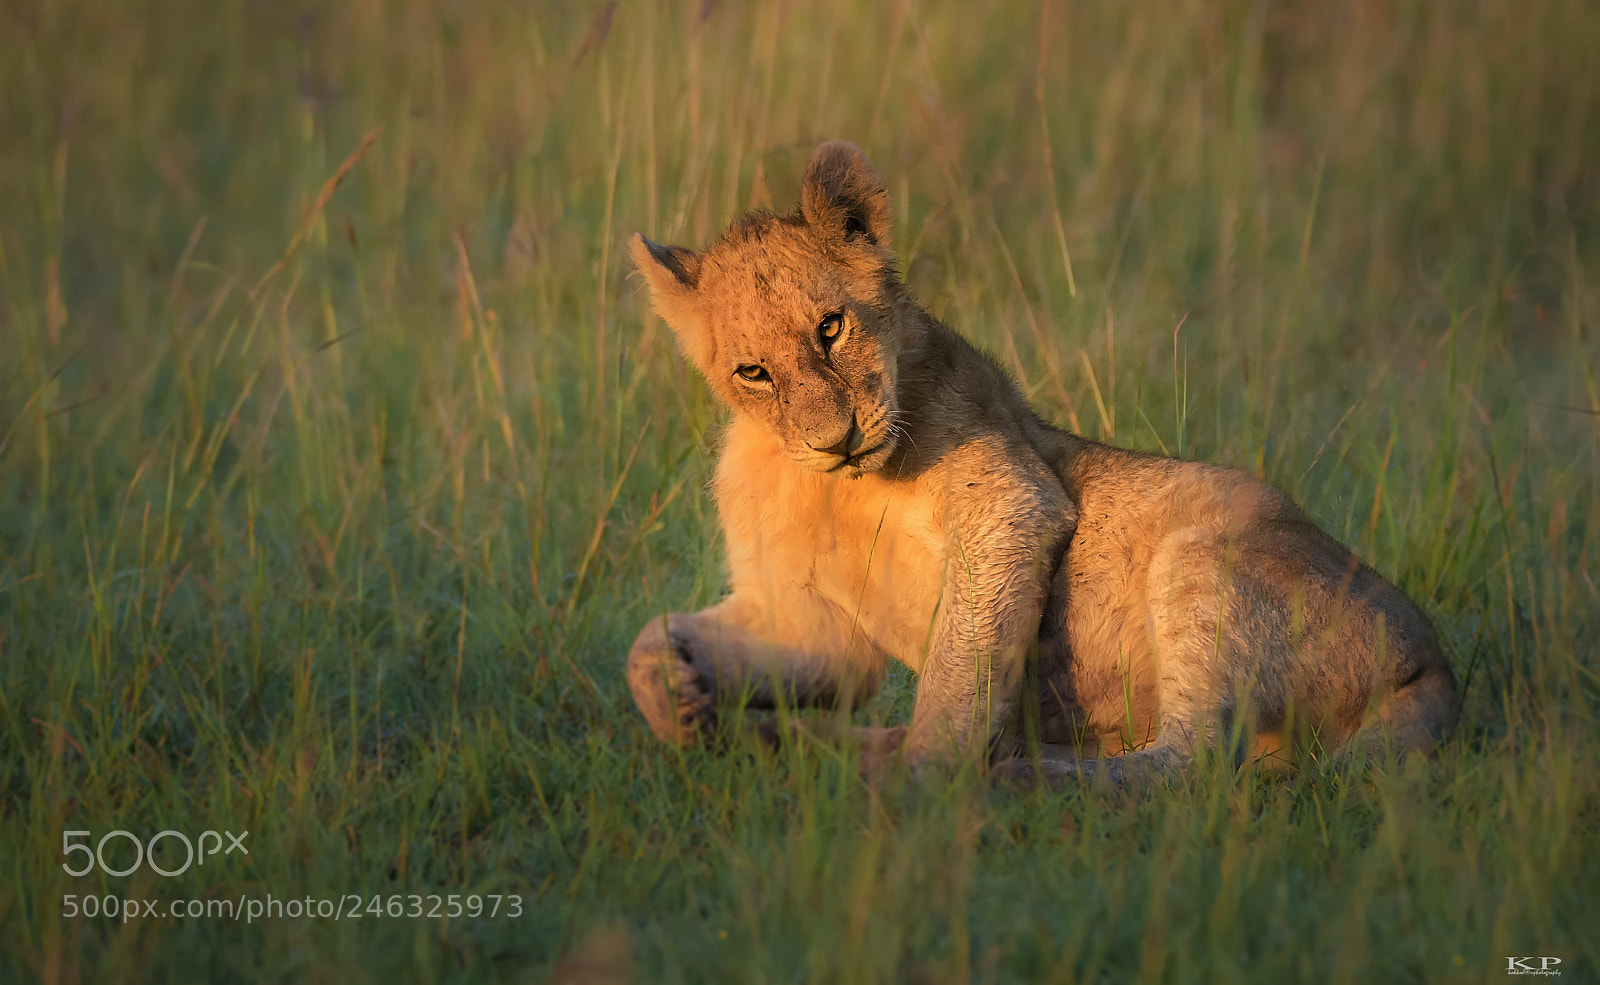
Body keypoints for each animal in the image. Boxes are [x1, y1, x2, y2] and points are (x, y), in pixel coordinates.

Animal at [625, 140, 1457, 784]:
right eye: (753, 372)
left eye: (831, 327)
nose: (837, 439)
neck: (842, 487)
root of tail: (1439, 664)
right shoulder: (807, 621)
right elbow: (659, 641)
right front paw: (675, 696)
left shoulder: (1012, 506)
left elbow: (955, 680)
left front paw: (922, 794)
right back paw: (792, 745)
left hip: (1203, 558)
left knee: (1192, 763)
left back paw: (1019, 776)